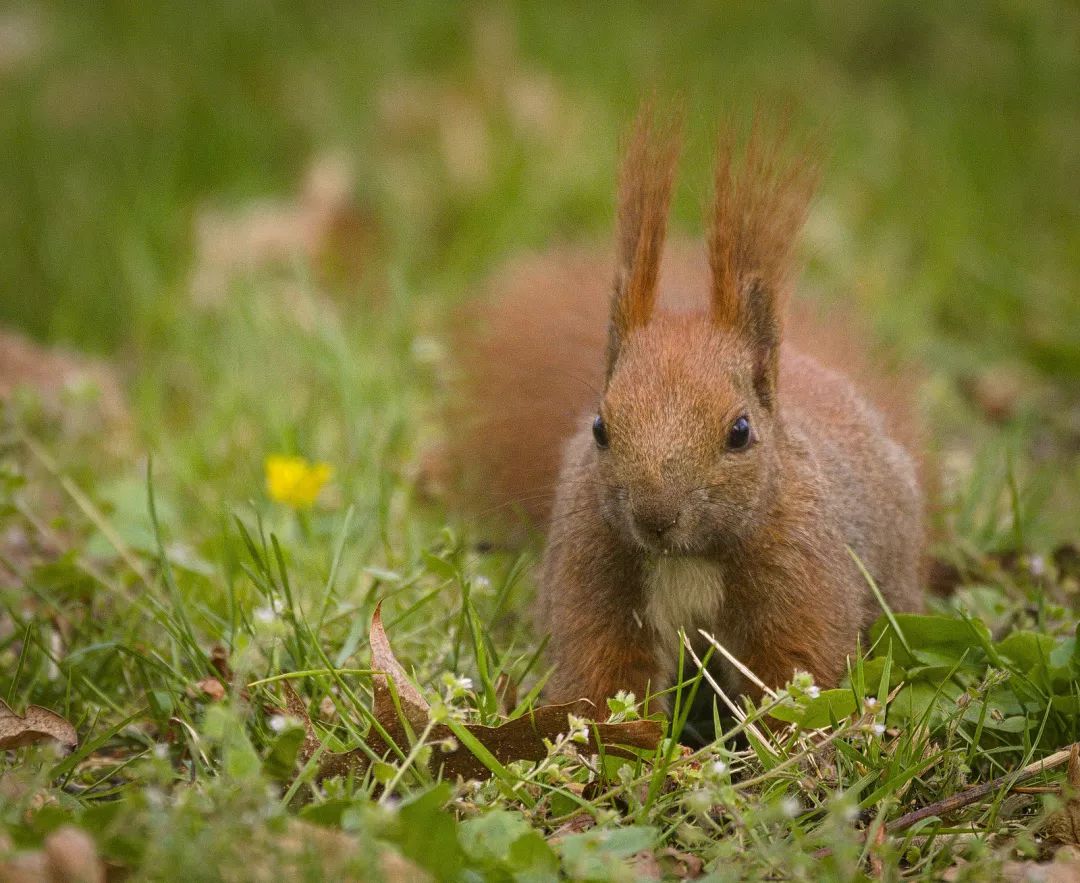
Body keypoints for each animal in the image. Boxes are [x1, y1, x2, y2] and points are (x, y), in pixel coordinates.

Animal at [451, 108, 924, 708]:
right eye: (600, 427)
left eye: (740, 431)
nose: (655, 517)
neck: (689, 558)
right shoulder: (592, 579)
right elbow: (605, 675)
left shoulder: (805, 576)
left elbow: (794, 671)